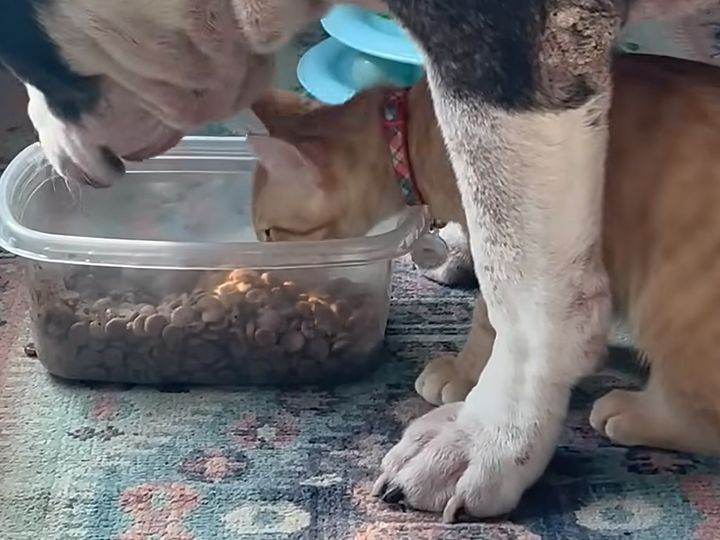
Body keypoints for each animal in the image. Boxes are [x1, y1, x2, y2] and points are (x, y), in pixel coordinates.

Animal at [250, 53, 720, 457]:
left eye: (269, 232)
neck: (411, 134)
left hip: (668, 305)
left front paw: (464, 372)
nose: (273, 274)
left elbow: (490, 319)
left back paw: (639, 413)